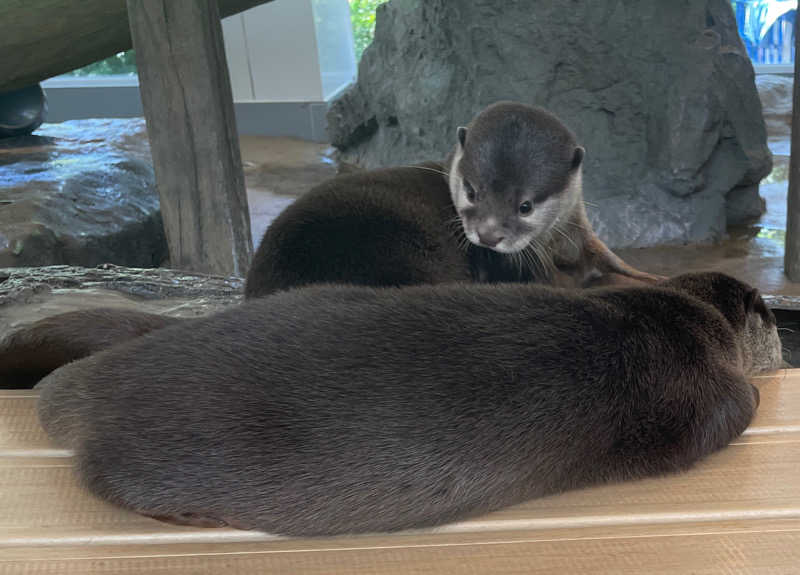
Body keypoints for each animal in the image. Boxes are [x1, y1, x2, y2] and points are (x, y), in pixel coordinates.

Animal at [0, 101, 656, 390]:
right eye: (471, 189)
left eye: (524, 204)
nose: (488, 235)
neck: (558, 244)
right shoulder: (521, 269)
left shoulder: (585, 236)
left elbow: (619, 267)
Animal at [37, 272, 780, 536]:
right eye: (771, 314)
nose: (775, 322)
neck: (676, 312)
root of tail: (104, 381)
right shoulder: (707, 390)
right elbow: (740, 402)